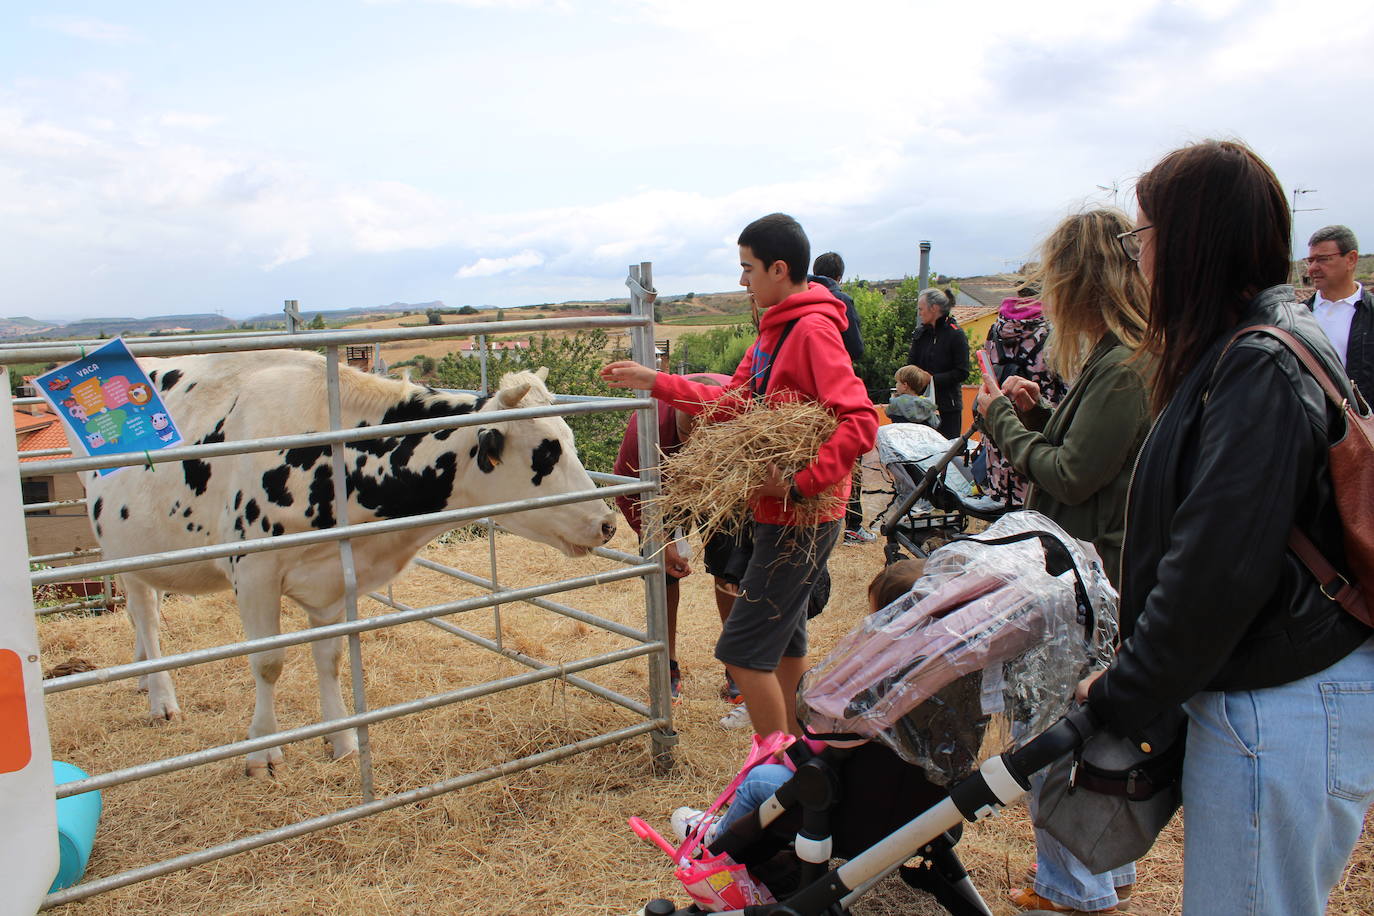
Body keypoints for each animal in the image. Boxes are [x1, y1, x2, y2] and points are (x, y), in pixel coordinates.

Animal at [87, 351, 618, 774]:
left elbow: (330, 658)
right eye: (545, 453)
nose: (608, 523)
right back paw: (161, 697)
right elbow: (267, 663)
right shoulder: (253, 571)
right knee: (145, 614)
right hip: (123, 547)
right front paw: (262, 750)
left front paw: (341, 740)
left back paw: (141, 678)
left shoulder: (331, 579)